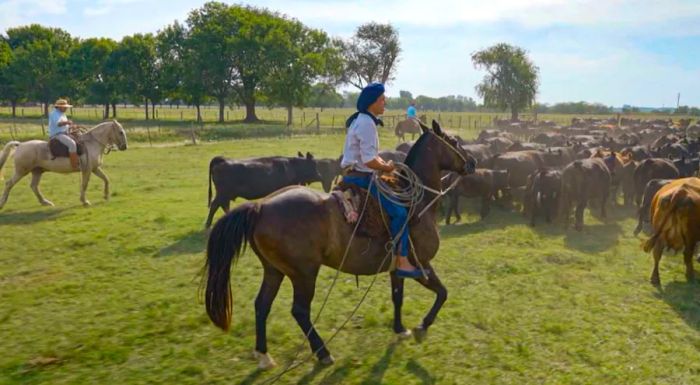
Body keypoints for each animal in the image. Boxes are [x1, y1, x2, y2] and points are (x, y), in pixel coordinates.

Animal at [0, 121, 129, 208]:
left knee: (34, 186)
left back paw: (45, 202)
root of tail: (20, 145)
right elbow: (84, 185)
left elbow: (106, 179)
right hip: (21, 171)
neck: (92, 143)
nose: (124, 147)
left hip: (37, 171)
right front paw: (84, 201)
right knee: (9, 184)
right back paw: (2, 203)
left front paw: (106, 195)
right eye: (120, 132)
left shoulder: (95, 168)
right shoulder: (87, 170)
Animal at [202, 120, 476, 366]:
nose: (472, 162)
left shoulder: (397, 268)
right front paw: (422, 326)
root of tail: (260, 207)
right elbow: (442, 292)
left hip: (274, 270)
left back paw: (263, 355)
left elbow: (397, 296)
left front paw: (400, 329)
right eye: (454, 142)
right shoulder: (421, 264)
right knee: (299, 311)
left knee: (262, 305)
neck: (417, 203)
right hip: (303, 273)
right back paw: (323, 353)